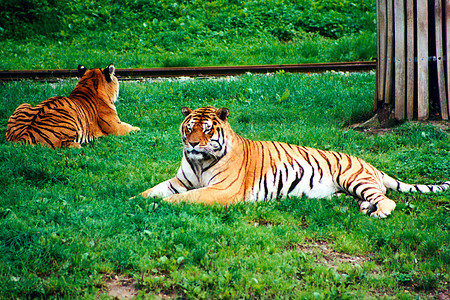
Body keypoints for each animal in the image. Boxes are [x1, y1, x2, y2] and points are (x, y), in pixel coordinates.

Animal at [4, 63, 139, 148]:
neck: (89, 85)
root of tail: (23, 136)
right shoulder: (116, 127)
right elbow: (132, 128)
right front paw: (138, 128)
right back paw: (78, 145)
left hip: (23, 104)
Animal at [141, 106, 450, 218]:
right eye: (190, 128)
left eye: (207, 130)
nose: (193, 144)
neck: (199, 162)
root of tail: (370, 164)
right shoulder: (179, 181)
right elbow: (151, 191)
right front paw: (135, 201)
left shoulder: (222, 190)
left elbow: (186, 198)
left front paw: (161, 205)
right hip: (344, 189)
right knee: (367, 197)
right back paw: (364, 207)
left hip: (355, 178)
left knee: (387, 198)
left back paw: (378, 212)